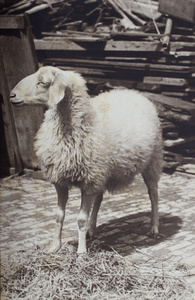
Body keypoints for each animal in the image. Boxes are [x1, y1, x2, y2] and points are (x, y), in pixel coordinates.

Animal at [10, 65, 163, 253]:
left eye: (43, 83)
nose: (12, 95)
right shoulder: (61, 181)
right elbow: (58, 215)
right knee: (99, 198)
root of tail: (134, 92)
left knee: (153, 194)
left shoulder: (88, 181)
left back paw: (154, 227)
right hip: (102, 173)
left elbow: (80, 219)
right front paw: (54, 246)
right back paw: (91, 230)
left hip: (152, 161)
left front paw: (81, 252)